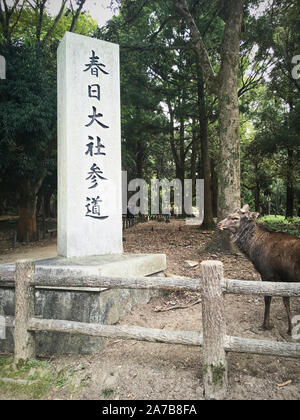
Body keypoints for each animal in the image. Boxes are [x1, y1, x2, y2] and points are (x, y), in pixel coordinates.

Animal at [218, 204, 300, 334]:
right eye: (229, 214)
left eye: (236, 218)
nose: (219, 224)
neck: (252, 250)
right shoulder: (284, 278)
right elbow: (286, 301)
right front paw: (290, 329)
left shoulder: (267, 274)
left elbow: (267, 298)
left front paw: (265, 325)